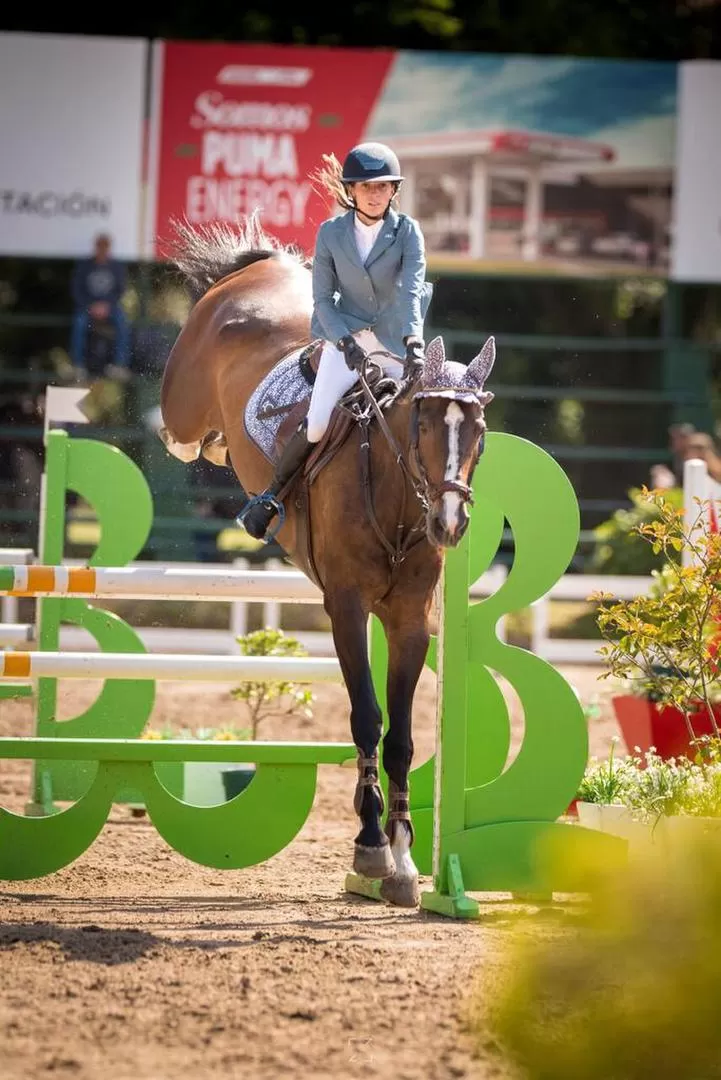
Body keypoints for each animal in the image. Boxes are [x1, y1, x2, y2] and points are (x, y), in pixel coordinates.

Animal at [158, 214, 496, 907]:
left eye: (478, 433)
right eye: (424, 425)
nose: (449, 525)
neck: (397, 502)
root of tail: (260, 267)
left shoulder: (410, 621)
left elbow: (401, 737)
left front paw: (403, 861)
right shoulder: (344, 606)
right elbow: (366, 718)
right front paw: (370, 847)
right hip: (184, 403)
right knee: (180, 435)